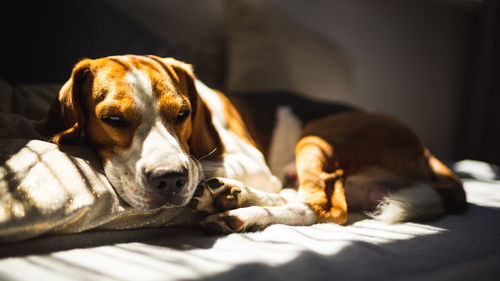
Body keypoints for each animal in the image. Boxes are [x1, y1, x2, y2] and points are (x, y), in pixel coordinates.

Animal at [47, 54, 464, 232]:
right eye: (114, 120)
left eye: (182, 113)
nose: (169, 180)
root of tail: (427, 153)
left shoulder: (251, 161)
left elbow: (200, 162)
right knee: (297, 194)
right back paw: (234, 196)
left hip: (317, 135)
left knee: (324, 206)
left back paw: (243, 212)